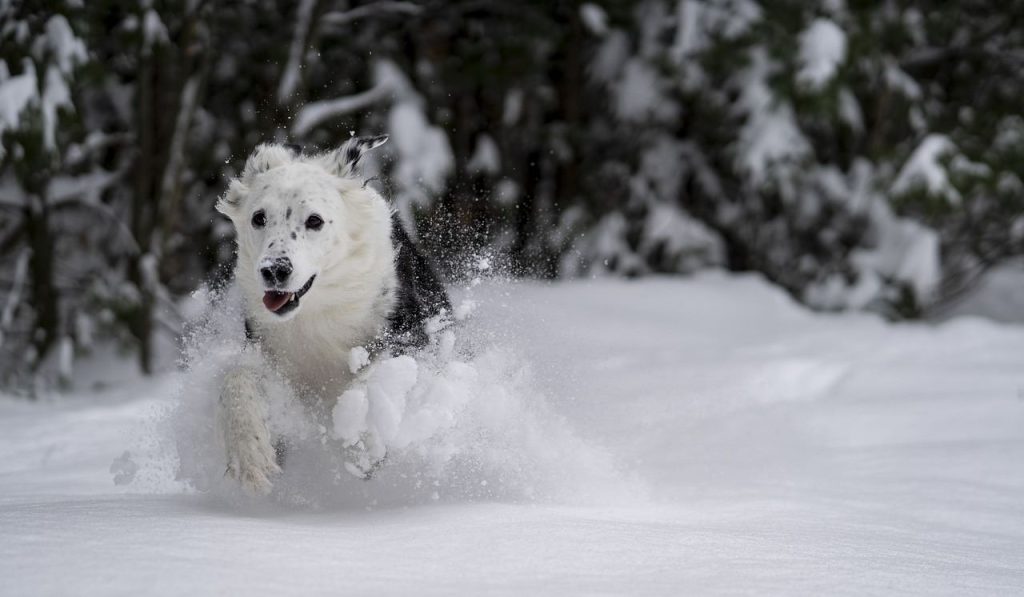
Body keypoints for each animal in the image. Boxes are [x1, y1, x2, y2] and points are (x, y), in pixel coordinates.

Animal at [215, 136, 448, 495]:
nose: (274, 270)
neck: (317, 309)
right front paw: (250, 455)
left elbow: (371, 378)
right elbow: (236, 377)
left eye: (315, 220)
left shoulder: (412, 337)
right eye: (258, 218)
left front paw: (362, 442)